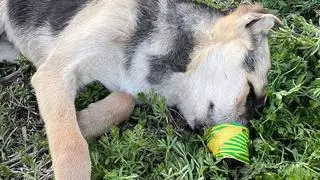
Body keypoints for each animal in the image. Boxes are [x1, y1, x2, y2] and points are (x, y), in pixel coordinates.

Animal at [0, 0, 280, 179]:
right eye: (250, 93)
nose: (233, 163)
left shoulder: (119, 80)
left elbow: (125, 101)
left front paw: (83, 121)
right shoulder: (54, 72)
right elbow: (72, 148)